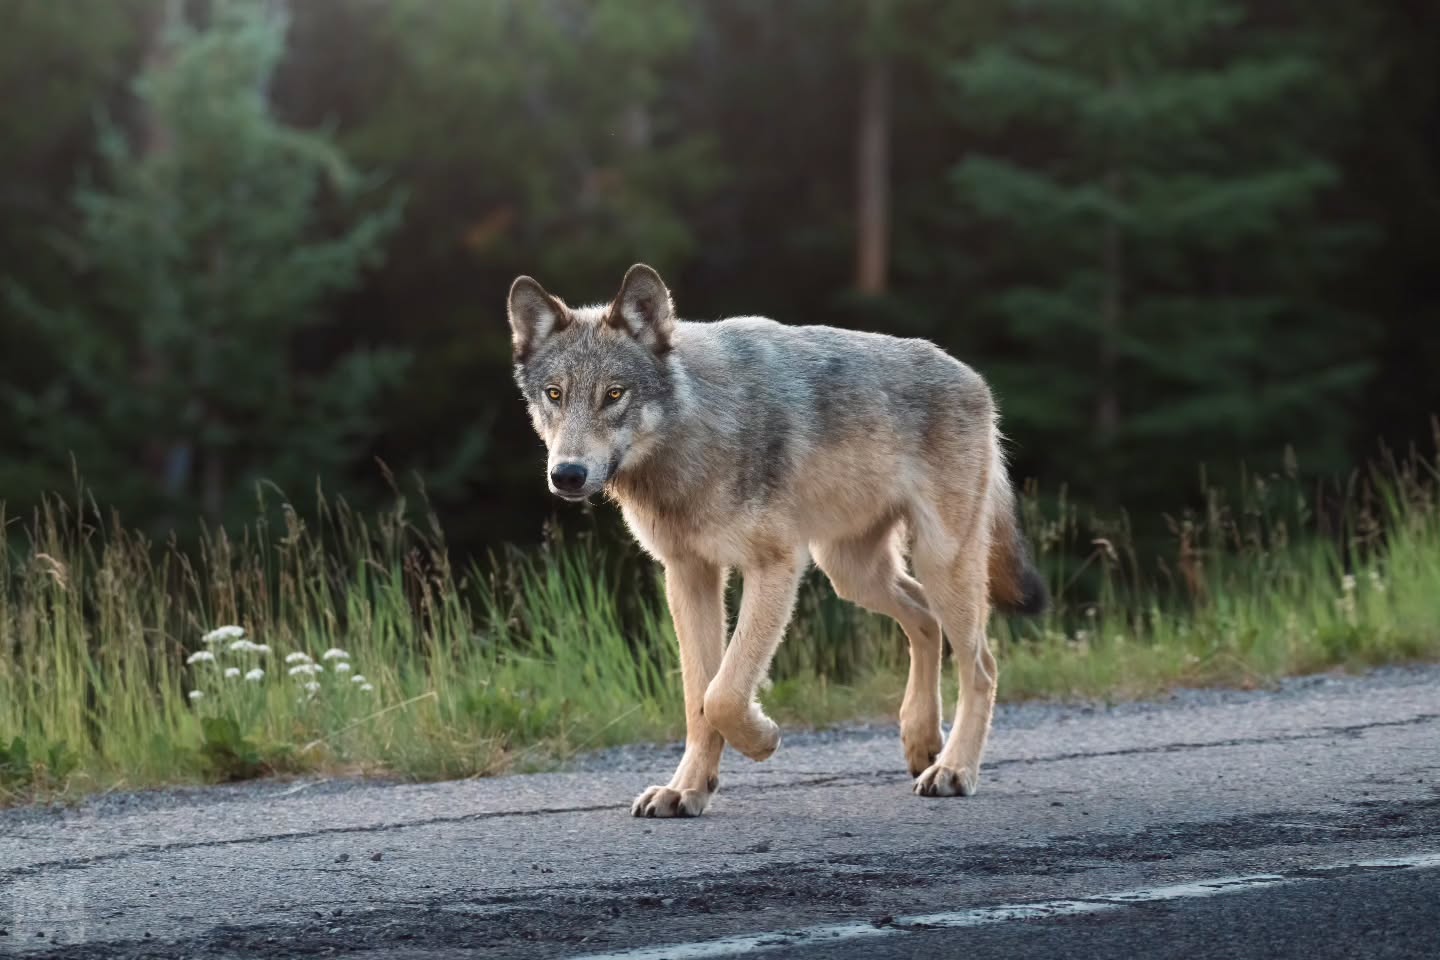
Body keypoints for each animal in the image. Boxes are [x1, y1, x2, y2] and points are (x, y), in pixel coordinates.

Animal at [506, 264, 1047, 818]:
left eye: (614, 394)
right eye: (554, 394)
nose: (567, 474)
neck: (696, 433)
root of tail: (976, 379)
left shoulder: (776, 566)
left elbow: (722, 695)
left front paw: (762, 739)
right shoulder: (688, 575)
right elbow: (698, 699)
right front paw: (687, 790)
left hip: (938, 563)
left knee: (982, 665)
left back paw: (953, 769)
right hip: (851, 573)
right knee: (924, 620)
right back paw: (922, 742)